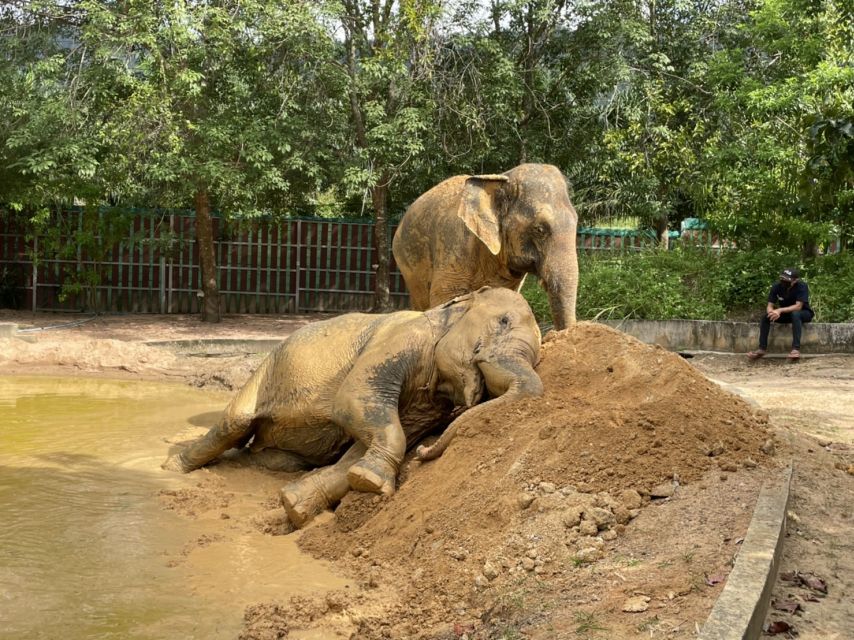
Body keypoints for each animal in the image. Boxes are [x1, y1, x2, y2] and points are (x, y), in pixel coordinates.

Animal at [164, 288, 544, 528]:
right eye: (503, 322)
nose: (425, 453)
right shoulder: (402, 340)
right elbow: (352, 399)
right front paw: (371, 482)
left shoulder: (427, 404)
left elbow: (364, 445)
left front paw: (299, 506)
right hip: (262, 373)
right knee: (233, 424)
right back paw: (171, 467)